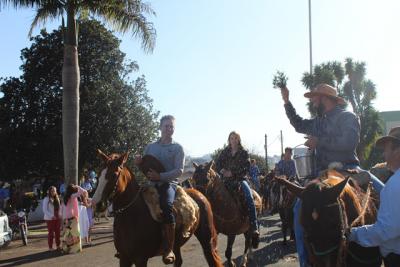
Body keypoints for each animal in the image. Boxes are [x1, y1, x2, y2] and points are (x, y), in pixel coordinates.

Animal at [94, 151, 225, 267]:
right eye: (98, 174)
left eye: (114, 174)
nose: (97, 203)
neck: (132, 215)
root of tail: (199, 193)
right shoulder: (124, 258)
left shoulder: (140, 259)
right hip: (177, 245)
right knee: (178, 261)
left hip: (207, 239)